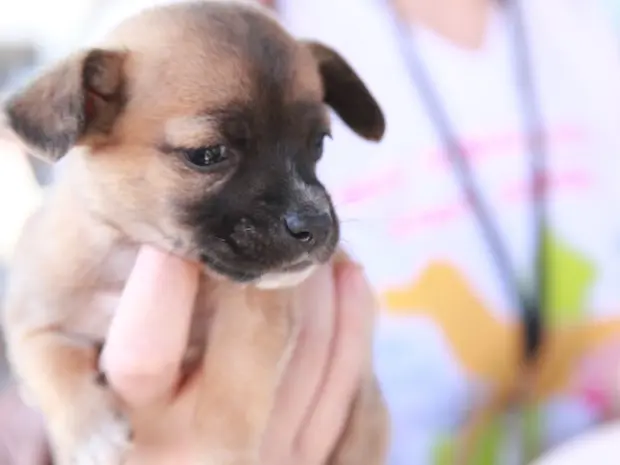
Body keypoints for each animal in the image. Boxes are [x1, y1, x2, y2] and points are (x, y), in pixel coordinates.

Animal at [0, 1, 390, 462]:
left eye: (319, 144)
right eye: (207, 154)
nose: (315, 222)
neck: (132, 252)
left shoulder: (252, 317)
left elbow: (233, 382)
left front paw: (221, 445)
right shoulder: (34, 316)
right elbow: (49, 361)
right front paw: (89, 433)